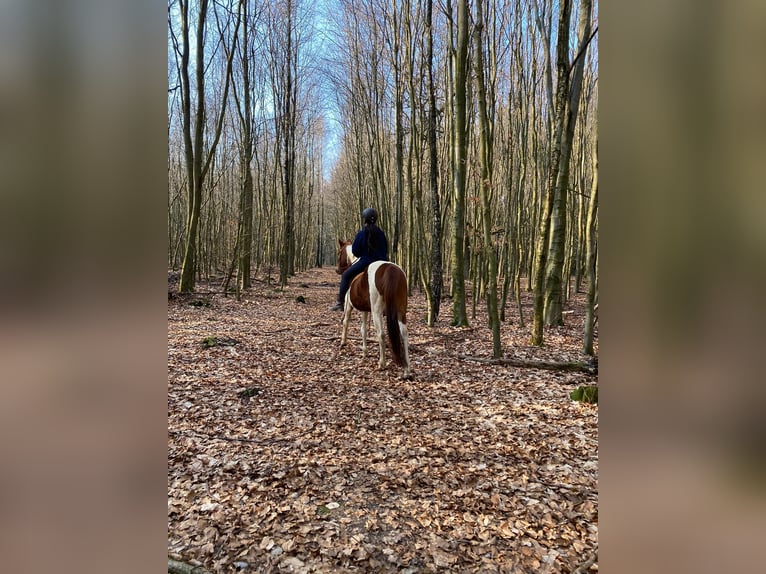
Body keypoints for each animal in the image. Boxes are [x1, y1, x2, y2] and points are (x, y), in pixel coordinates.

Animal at [336, 240, 411, 378]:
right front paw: (365, 352)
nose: (338, 270)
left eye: (339, 253)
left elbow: (350, 324)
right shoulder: (367, 310)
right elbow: (364, 329)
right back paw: (407, 369)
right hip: (401, 311)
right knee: (404, 334)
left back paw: (382, 364)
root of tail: (391, 270)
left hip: (377, 312)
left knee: (381, 334)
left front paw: (345, 342)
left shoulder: (350, 306)